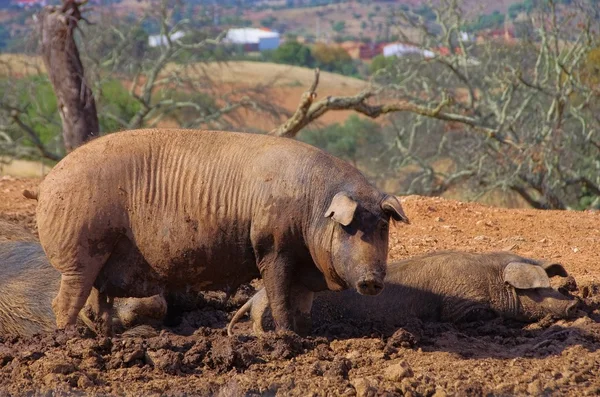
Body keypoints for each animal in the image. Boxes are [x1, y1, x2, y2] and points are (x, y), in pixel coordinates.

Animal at [28, 128, 408, 332]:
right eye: (349, 228)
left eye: (382, 228)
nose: (371, 280)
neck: (313, 209)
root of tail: (47, 183)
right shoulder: (272, 248)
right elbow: (279, 296)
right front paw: (286, 339)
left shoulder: (303, 266)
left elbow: (302, 304)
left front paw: (306, 336)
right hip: (80, 253)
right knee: (64, 301)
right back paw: (70, 339)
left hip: (101, 262)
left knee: (97, 302)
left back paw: (104, 337)